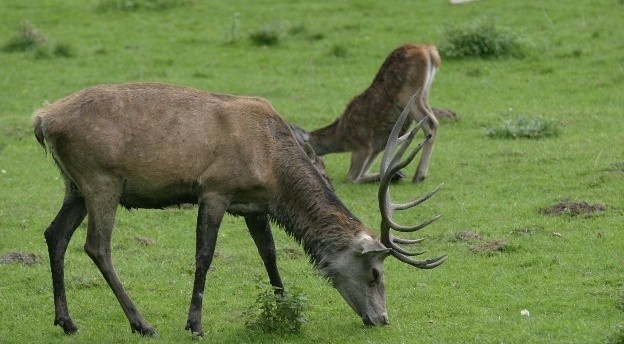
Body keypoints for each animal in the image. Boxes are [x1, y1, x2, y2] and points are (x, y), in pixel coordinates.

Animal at [33, 82, 444, 336]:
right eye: (375, 274)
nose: (382, 318)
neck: (274, 168)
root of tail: (43, 119)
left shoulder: (255, 206)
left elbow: (270, 255)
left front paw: (286, 310)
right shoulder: (215, 190)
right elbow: (204, 255)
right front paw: (194, 323)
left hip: (75, 186)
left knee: (55, 234)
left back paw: (66, 321)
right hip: (101, 179)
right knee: (97, 246)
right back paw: (142, 323)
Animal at [292, 44, 444, 184]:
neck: (341, 137)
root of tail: (428, 50)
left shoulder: (362, 146)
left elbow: (351, 178)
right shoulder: (377, 147)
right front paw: (395, 174)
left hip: (408, 93)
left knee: (431, 123)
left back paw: (419, 176)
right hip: (424, 94)